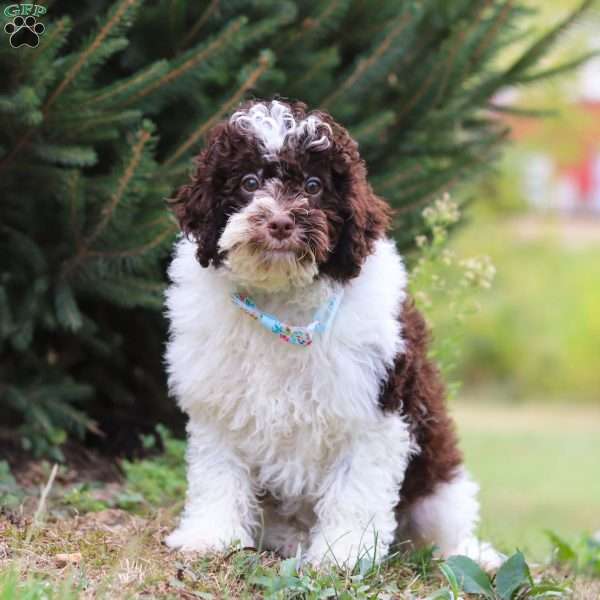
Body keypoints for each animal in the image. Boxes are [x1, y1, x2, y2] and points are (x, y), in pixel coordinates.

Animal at [165, 97, 502, 568]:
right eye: (249, 182)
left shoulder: (375, 405)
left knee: (445, 524)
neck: (282, 300)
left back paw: (472, 554)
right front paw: (210, 535)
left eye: (313, 185)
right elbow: (219, 470)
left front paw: (343, 553)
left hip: (437, 479)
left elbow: (355, 486)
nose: (281, 223)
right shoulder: (218, 399)